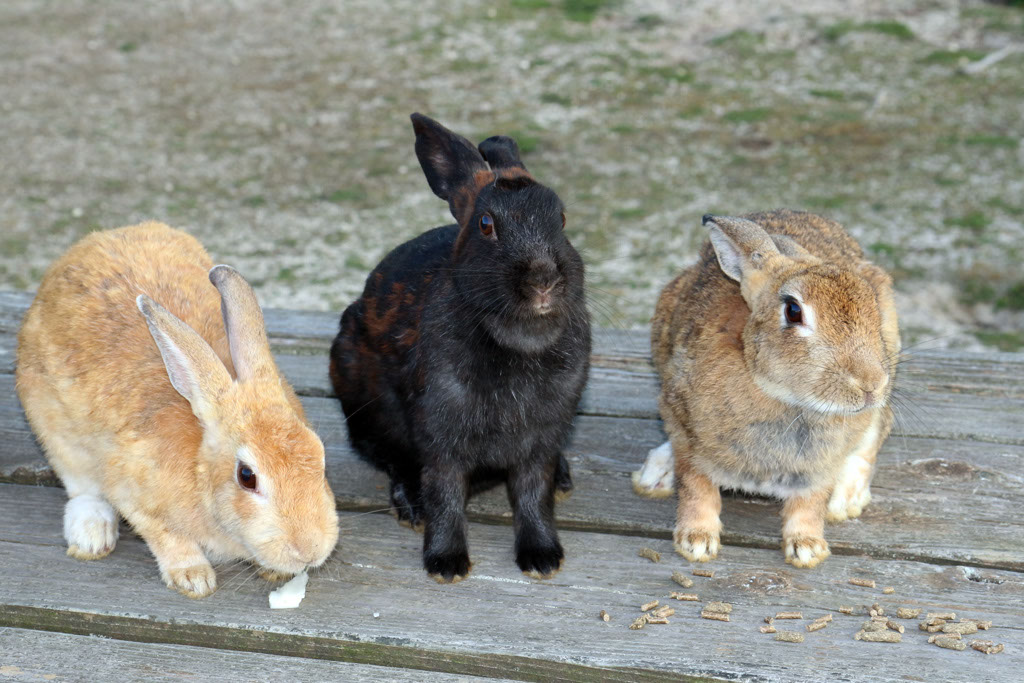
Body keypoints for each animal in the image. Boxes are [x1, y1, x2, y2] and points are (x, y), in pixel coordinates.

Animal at [15, 222, 340, 598]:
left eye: (320, 454)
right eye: (247, 476)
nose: (310, 550)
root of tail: (89, 243)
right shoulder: (133, 492)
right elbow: (165, 535)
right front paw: (194, 578)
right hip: (53, 429)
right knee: (82, 488)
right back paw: (92, 535)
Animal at [329, 113, 590, 583]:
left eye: (560, 219)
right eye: (486, 225)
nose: (544, 280)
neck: (518, 336)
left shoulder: (542, 439)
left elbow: (533, 494)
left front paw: (543, 558)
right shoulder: (441, 435)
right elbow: (445, 493)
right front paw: (446, 565)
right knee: (389, 457)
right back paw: (411, 507)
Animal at [635, 210, 899, 568]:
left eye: (872, 306)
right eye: (793, 310)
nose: (871, 384)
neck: (787, 399)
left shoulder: (819, 466)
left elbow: (810, 502)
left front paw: (807, 548)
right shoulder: (685, 428)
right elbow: (696, 486)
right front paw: (696, 542)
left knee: (877, 430)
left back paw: (845, 501)